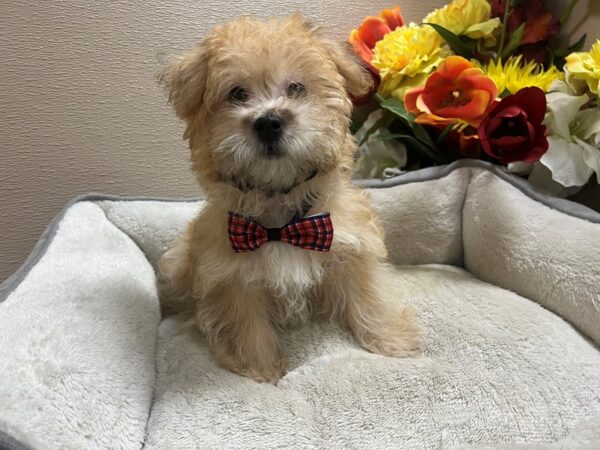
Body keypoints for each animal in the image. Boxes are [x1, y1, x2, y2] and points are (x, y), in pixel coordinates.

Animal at [159, 14, 422, 382]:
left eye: (296, 88)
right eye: (237, 94)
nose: (269, 122)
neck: (279, 221)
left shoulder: (350, 249)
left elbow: (366, 296)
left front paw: (393, 340)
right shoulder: (231, 277)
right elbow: (247, 324)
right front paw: (262, 370)